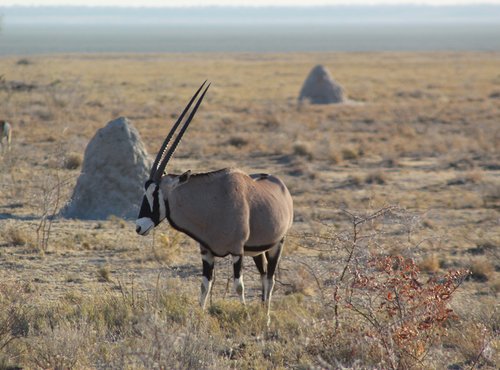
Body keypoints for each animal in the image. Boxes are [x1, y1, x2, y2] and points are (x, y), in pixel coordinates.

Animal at [137, 81, 292, 324]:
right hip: (257, 251)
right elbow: (204, 286)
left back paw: (266, 318)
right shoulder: (206, 252)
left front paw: (247, 317)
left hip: (278, 244)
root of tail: (280, 184)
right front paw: (200, 316)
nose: (139, 226)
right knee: (263, 276)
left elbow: (239, 286)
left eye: (155, 193)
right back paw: (262, 312)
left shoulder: (237, 251)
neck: (212, 201)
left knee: (270, 279)